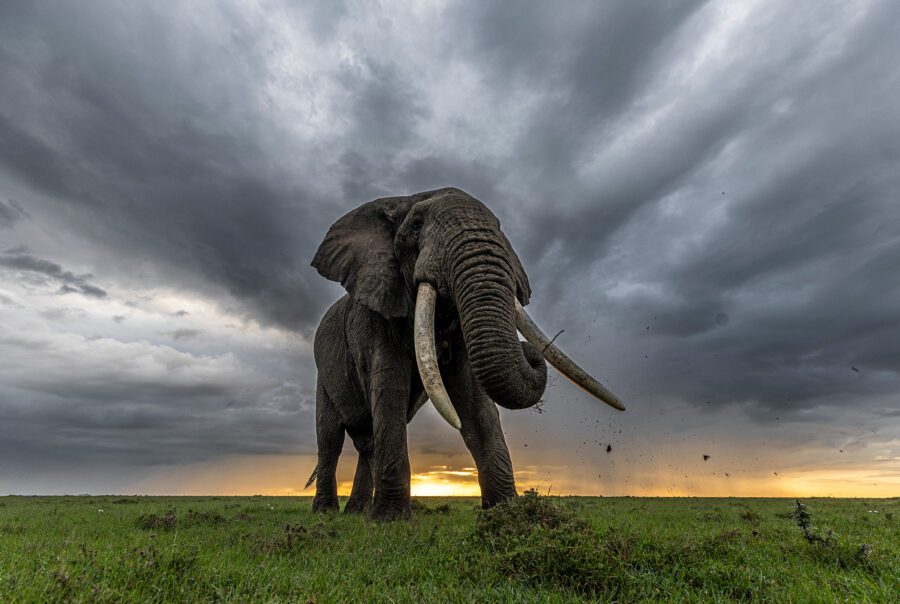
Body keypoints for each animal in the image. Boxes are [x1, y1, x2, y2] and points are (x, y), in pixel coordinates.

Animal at [308, 187, 624, 521]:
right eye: (417, 225)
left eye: (499, 228)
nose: (530, 351)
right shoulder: (376, 313)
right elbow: (390, 389)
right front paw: (388, 521)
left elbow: (474, 400)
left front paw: (505, 513)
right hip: (323, 376)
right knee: (330, 438)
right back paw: (327, 513)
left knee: (367, 443)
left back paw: (354, 513)